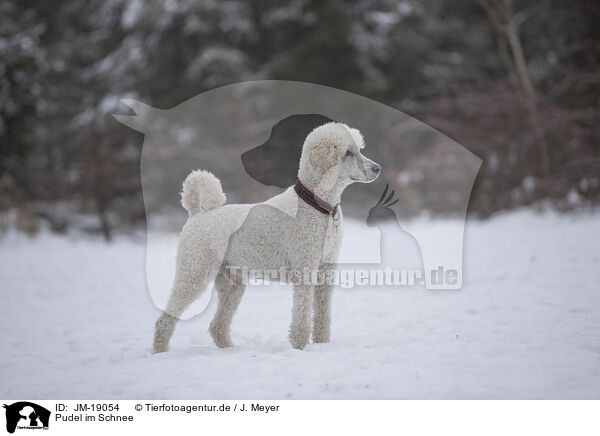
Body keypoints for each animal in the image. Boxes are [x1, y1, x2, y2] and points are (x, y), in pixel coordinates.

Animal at [154, 121, 380, 352]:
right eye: (348, 153)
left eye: (359, 149)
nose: (377, 169)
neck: (315, 204)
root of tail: (197, 215)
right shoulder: (305, 268)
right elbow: (301, 313)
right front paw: (299, 346)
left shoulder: (326, 268)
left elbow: (322, 313)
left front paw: (321, 343)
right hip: (195, 271)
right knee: (164, 319)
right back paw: (160, 351)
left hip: (231, 282)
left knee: (217, 325)